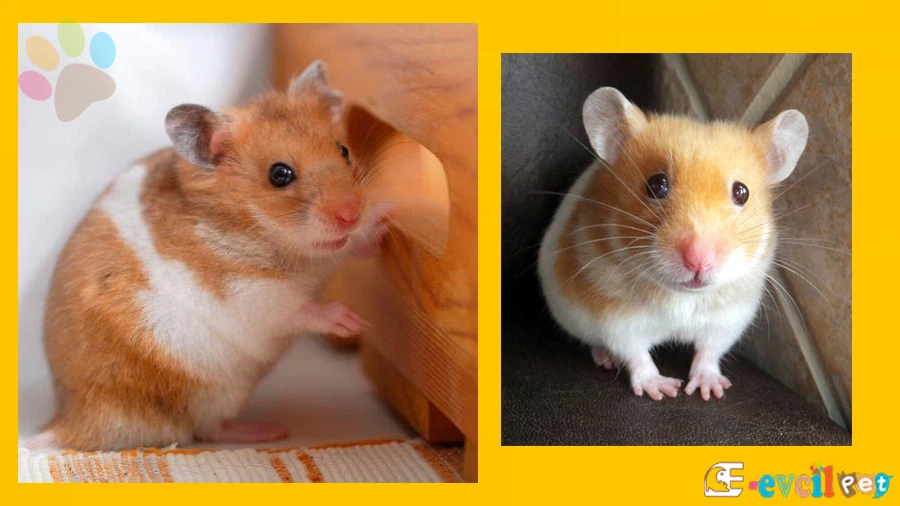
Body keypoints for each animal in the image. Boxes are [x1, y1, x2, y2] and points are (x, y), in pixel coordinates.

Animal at [34, 60, 390, 450]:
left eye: (343, 150)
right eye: (279, 175)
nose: (350, 214)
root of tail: (70, 421)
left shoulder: (328, 254)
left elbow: (350, 247)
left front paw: (383, 230)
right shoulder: (249, 295)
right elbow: (297, 309)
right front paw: (351, 322)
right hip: (210, 391)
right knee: (208, 428)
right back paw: (269, 430)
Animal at [537, 87, 808, 401]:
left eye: (742, 192)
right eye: (656, 185)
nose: (699, 260)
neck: (683, 296)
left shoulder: (728, 318)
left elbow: (709, 352)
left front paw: (710, 390)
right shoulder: (616, 317)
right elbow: (636, 354)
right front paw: (664, 390)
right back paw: (607, 359)